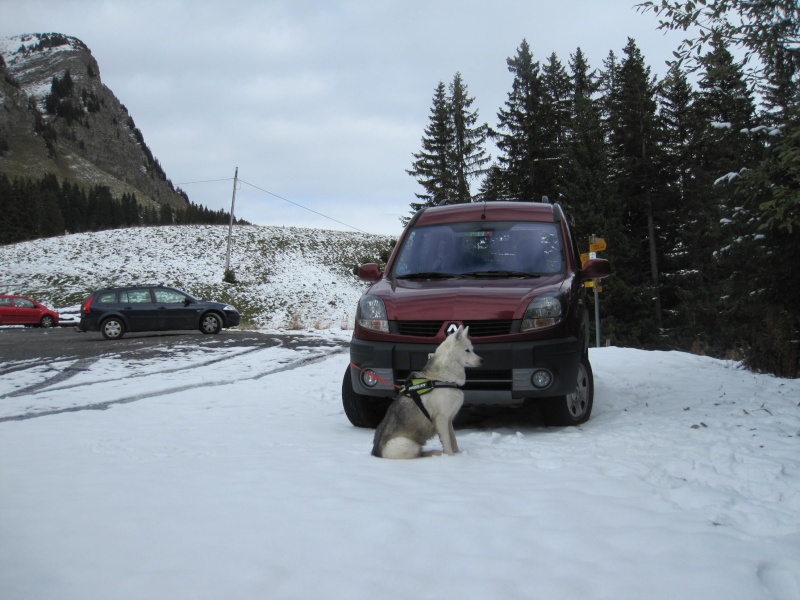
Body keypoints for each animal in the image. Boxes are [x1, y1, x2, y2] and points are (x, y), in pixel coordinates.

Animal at [374, 326, 482, 458]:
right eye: (467, 350)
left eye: (472, 350)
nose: (482, 360)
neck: (443, 379)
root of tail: (376, 452)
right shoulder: (441, 418)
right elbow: (447, 441)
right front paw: (450, 457)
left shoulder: (449, 419)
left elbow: (453, 439)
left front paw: (457, 454)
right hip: (408, 444)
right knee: (418, 454)